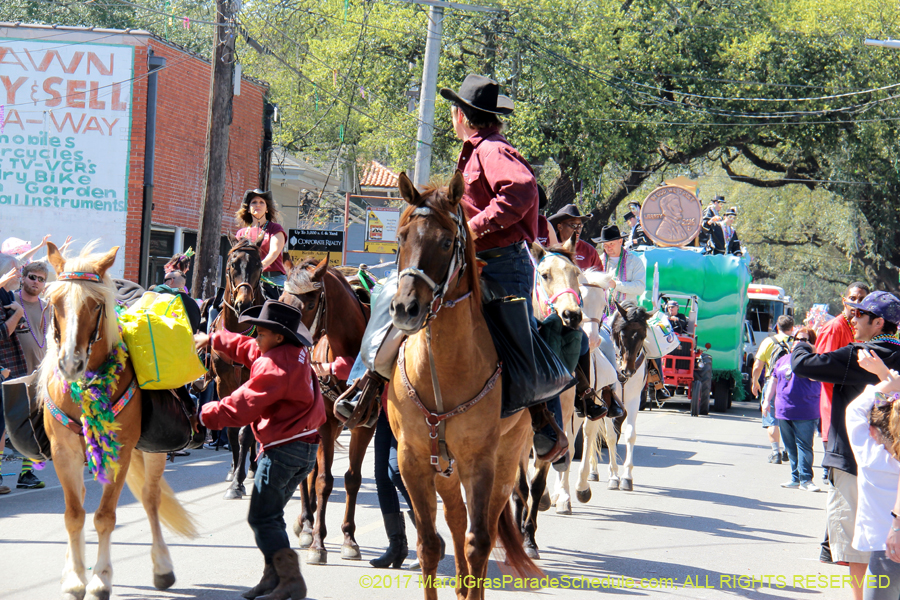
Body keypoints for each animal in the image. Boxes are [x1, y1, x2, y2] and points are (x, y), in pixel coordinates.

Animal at [41, 243, 196, 600]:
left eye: (96, 304)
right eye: (55, 303)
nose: (70, 363)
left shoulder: (121, 451)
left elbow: (105, 517)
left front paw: (100, 578)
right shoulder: (64, 453)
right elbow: (73, 515)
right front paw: (75, 578)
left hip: (151, 452)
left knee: (151, 499)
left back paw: (162, 566)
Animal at [278, 255, 370, 564]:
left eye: (309, 305)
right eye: (280, 299)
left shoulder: (365, 426)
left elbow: (352, 479)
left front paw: (349, 538)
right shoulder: (326, 424)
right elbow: (323, 481)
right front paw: (318, 542)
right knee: (308, 472)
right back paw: (307, 523)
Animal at [388, 171, 540, 596]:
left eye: (445, 242)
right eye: (402, 237)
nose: (406, 309)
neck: (443, 369)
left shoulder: (480, 461)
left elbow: (479, 542)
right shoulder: (413, 459)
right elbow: (428, 544)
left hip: (507, 460)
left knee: (483, 529)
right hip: (445, 468)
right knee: (455, 521)